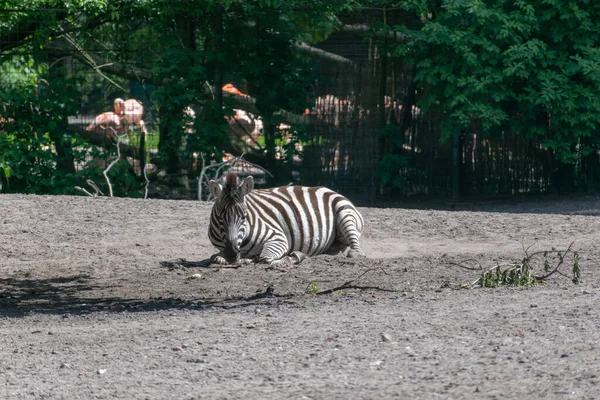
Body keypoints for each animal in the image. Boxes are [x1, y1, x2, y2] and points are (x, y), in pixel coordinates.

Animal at [206, 171, 366, 268]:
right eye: (220, 218)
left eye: (244, 216)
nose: (232, 253)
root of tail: (327, 188)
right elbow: (215, 257)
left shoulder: (278, 238)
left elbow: (265, 258)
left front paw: (291, 257)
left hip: (344, 213)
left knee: (356, 249)